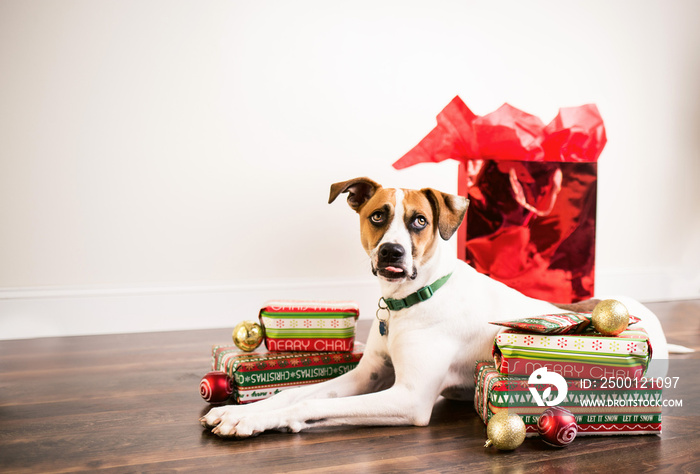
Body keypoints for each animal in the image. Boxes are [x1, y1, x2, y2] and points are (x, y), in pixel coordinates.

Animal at [200, 177, 668, 436]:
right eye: (378, 215)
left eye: (419, 221)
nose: (391, 252)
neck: (409, 302)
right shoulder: (365, 377)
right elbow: (295, 394)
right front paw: (237, 412)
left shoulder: (409, 399)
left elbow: (308, 405)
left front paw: (253, 422)